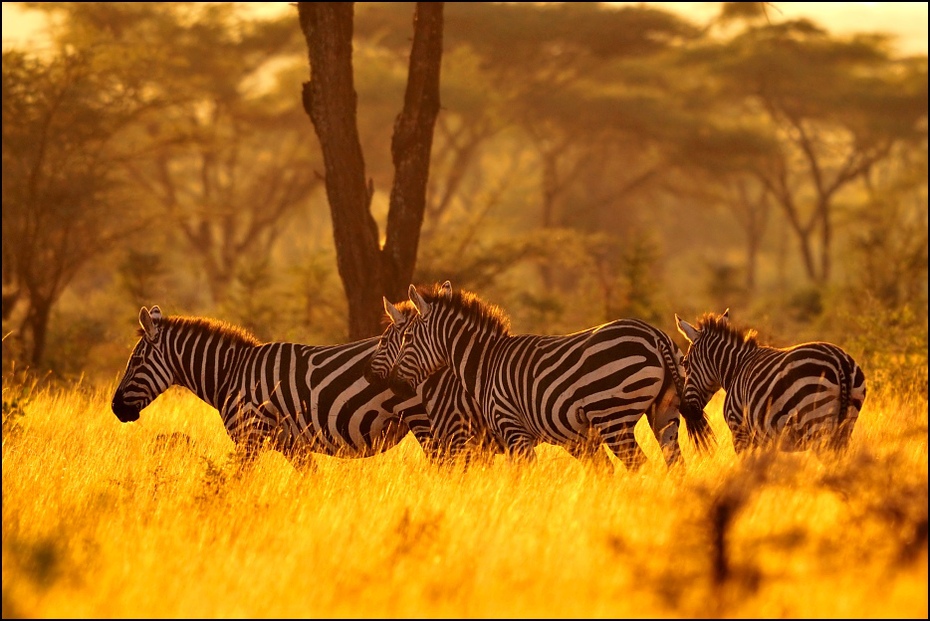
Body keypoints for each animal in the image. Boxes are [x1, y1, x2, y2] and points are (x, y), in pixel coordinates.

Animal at [110, 302, 436, 468]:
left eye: (136, 361)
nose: (115, 408)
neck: (231, 374)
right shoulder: (290, 444)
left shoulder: (250, 437)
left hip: (424, 421)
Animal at [384, 280, 712, 470]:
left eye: (407, 338)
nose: (393, 382)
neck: (484, 364)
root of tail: (655, 335)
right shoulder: (575, 439)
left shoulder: (510, 432)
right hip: (664, 415)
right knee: (675, 465)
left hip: (613, 417)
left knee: (639, 465)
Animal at [672, 308, 868, 450]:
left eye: (685, 363)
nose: (685, 409)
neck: (736, 368)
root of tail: (839, 361)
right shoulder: (765, 438)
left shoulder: (740, 430)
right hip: (846, 424)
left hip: (817, 422)